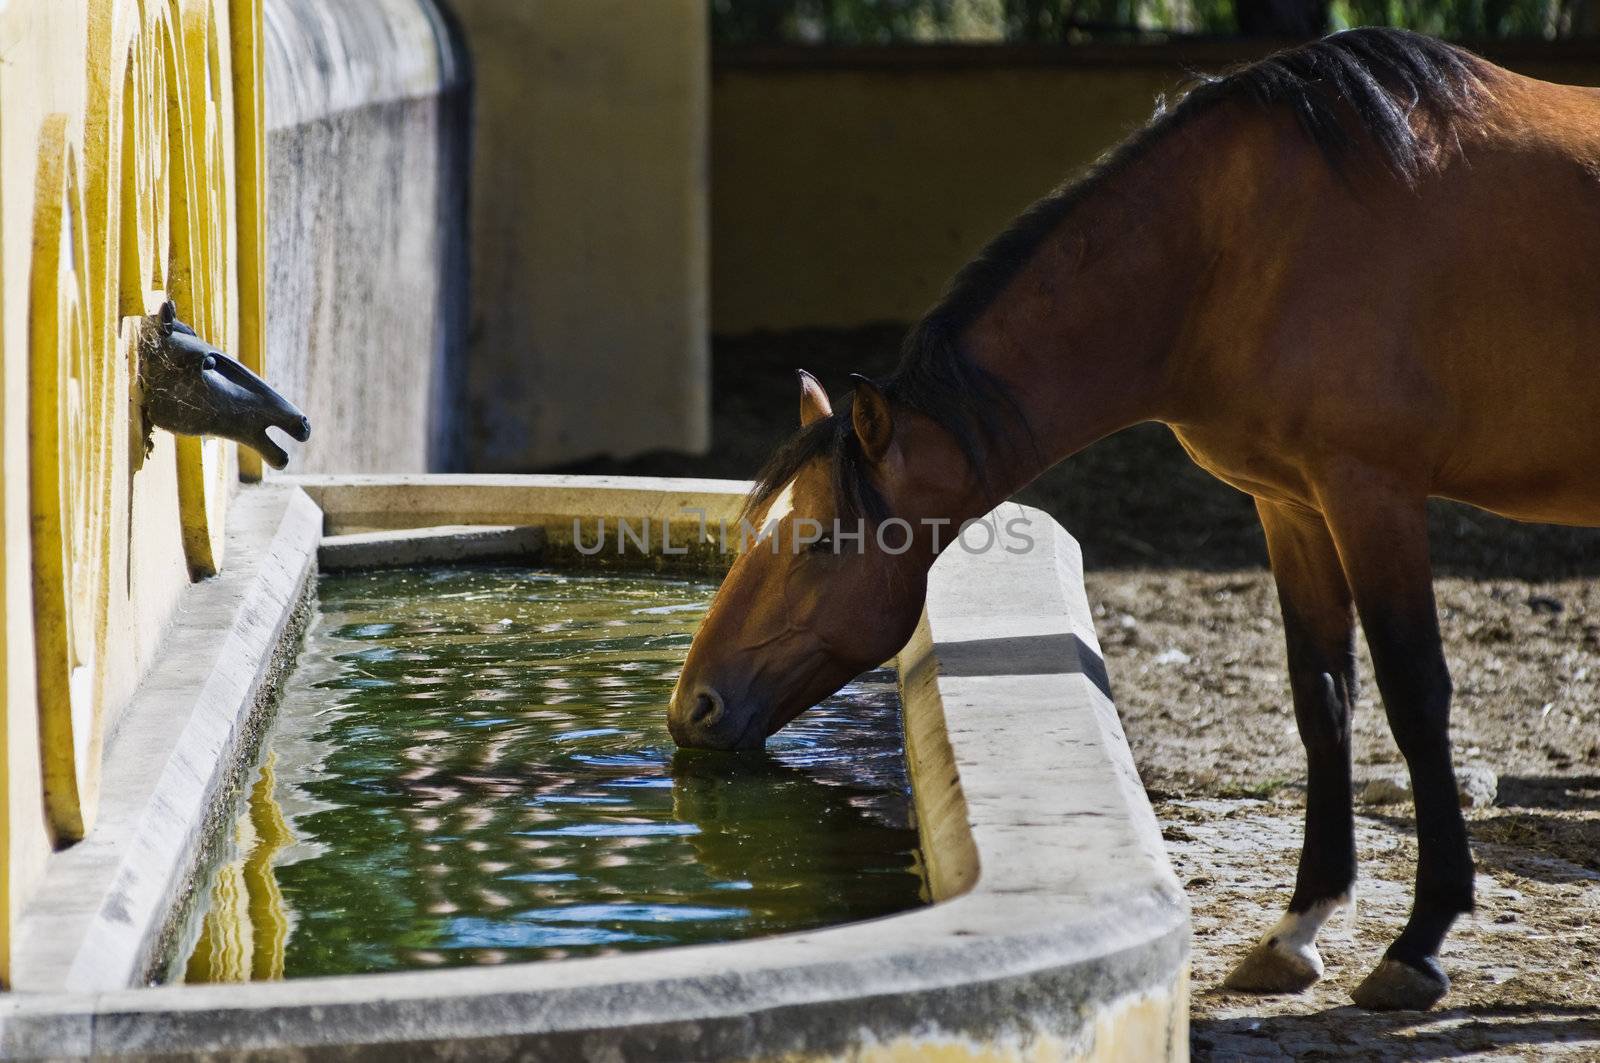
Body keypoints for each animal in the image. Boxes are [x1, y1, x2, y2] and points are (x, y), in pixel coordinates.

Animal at [668, 31, 1600, 1011]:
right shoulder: (1293, 503)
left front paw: (1418, 942)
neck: (1233, 252)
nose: (693, 705)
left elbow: (1415, 695)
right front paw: (1298, 927)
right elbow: (1322, 697)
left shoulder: (1371, 492)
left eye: (819, 541)